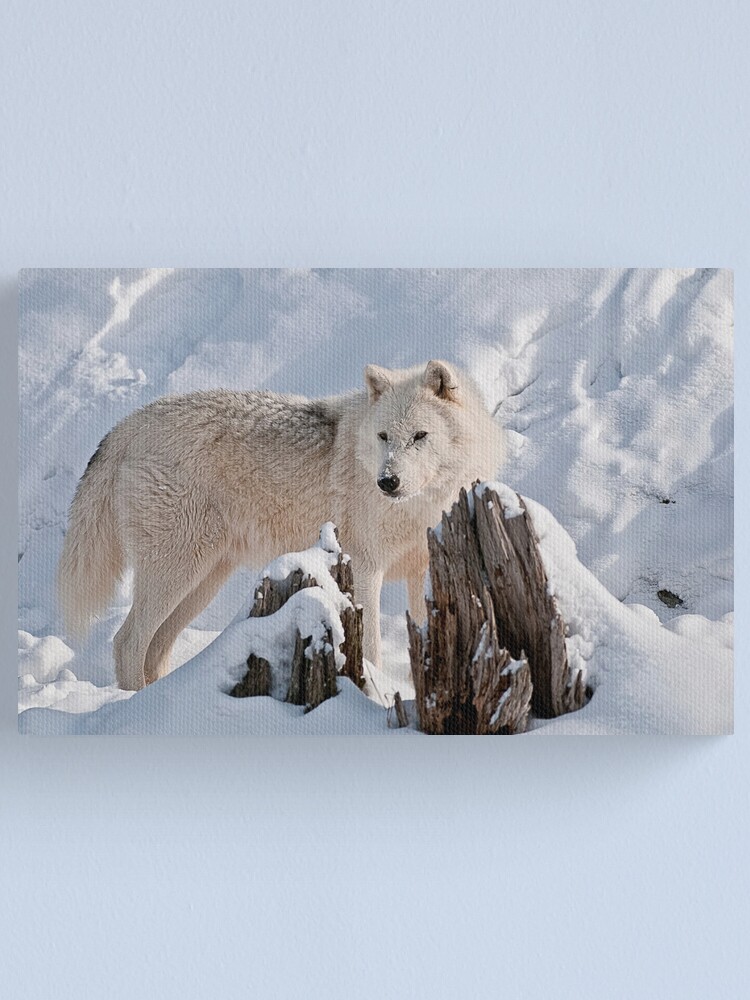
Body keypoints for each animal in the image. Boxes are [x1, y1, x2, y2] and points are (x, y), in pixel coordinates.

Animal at [58, 360, 505, 690]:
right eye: (383, 437)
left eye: (419, 436)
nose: (387, 482)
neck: (417, 506)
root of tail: (129, 424)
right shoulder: (365, 569)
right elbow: (371, 648)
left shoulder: (427, 568)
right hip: (178, 572)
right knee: (127, 642)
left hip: (202, 582)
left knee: (154, 650)